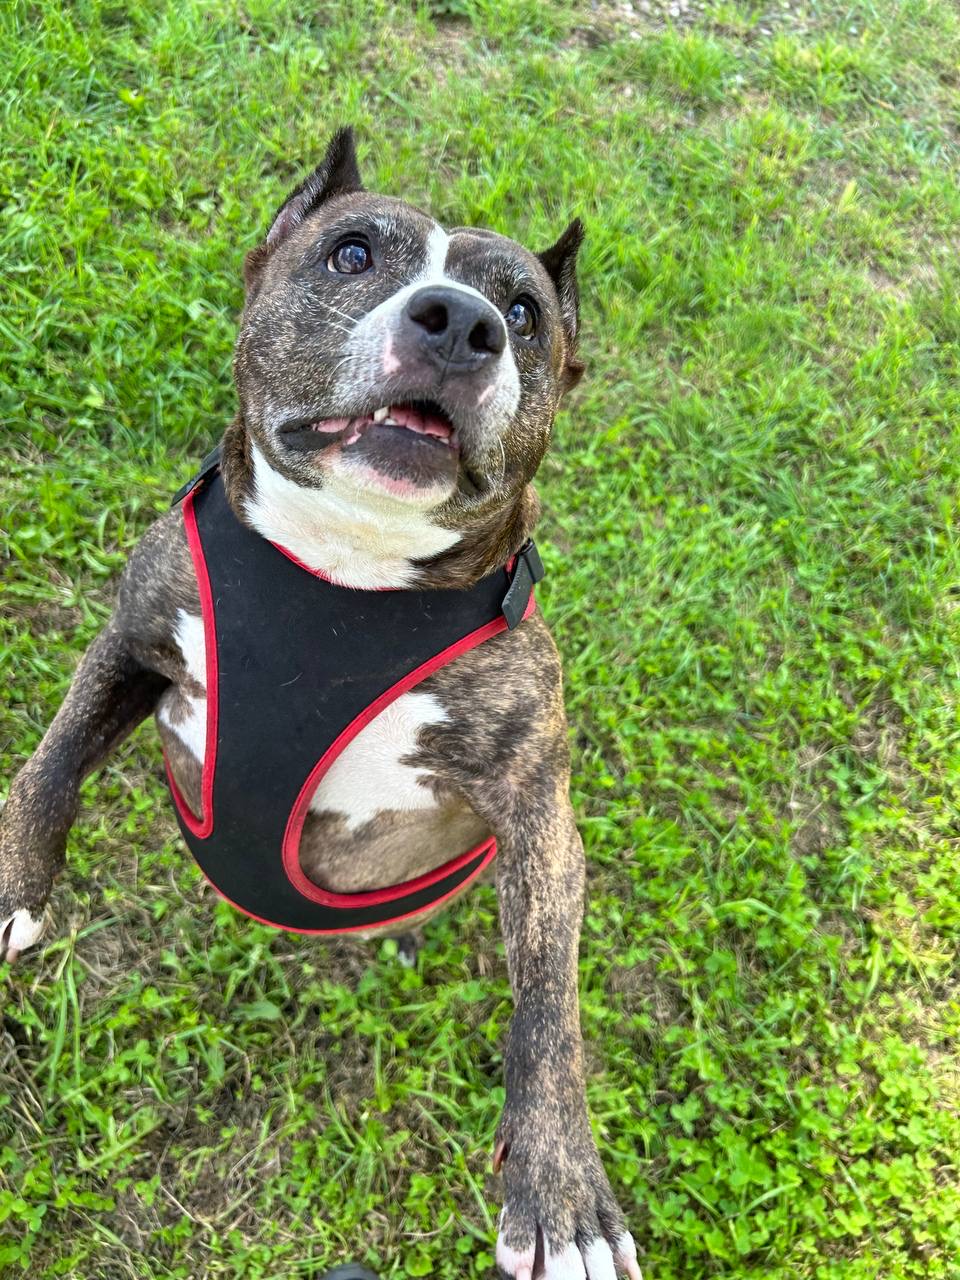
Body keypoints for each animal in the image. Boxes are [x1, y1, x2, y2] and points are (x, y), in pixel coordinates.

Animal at [0, 128, 640, 1280]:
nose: (462, 324)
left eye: (524, 312)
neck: (346, 571)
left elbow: (549, 1008)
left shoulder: (536, 809)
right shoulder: (133, 642)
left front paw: (562, 1191)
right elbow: (51, 762)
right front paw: (12, 884)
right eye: (351, 254)